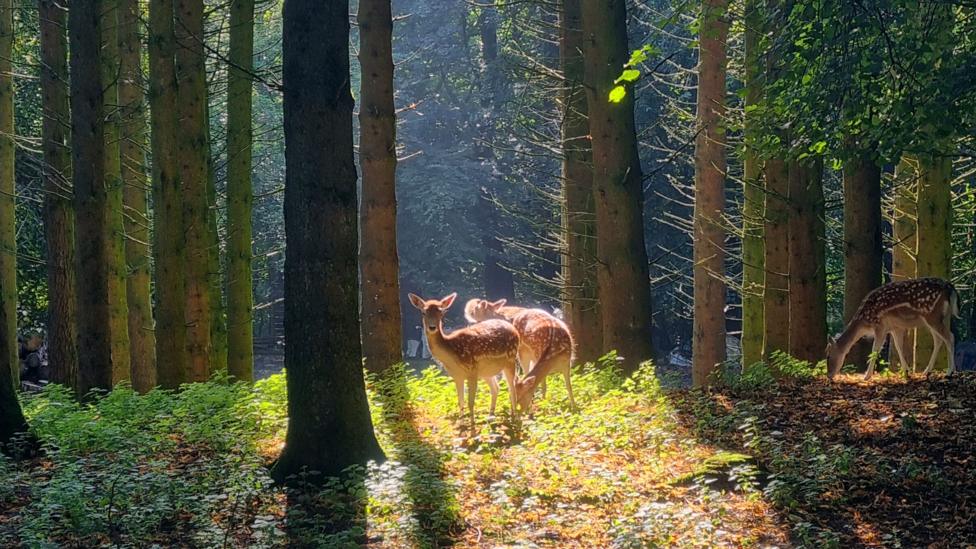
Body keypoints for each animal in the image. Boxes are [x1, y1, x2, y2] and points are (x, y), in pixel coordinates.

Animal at [408, 293, 520, 427]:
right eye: (423, 312)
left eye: (441, 312)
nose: (432, 327)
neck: (451, 353)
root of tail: (514, 329)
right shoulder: (456, 375)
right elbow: (460, 400)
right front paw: (461, 423)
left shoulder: (471, 370)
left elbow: (470, 402)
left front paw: (472, 425)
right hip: (487, 372)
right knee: (496, 387)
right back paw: (491, 416)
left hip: (510, 359)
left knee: (513, 386)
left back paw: (514, 417)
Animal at [826, 277, 960, 381]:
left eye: (827, 355)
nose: (829, 375)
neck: (864, 321)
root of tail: (949, 287)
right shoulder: (895, 327)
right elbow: (898, 346)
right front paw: (906, 372)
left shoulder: (880, 325)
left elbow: (875, 350)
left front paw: (866, 376)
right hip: (937, 318)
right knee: (939, 340)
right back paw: (927, 371)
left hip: (932, 315)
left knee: (950, 337)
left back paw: (950, 372)